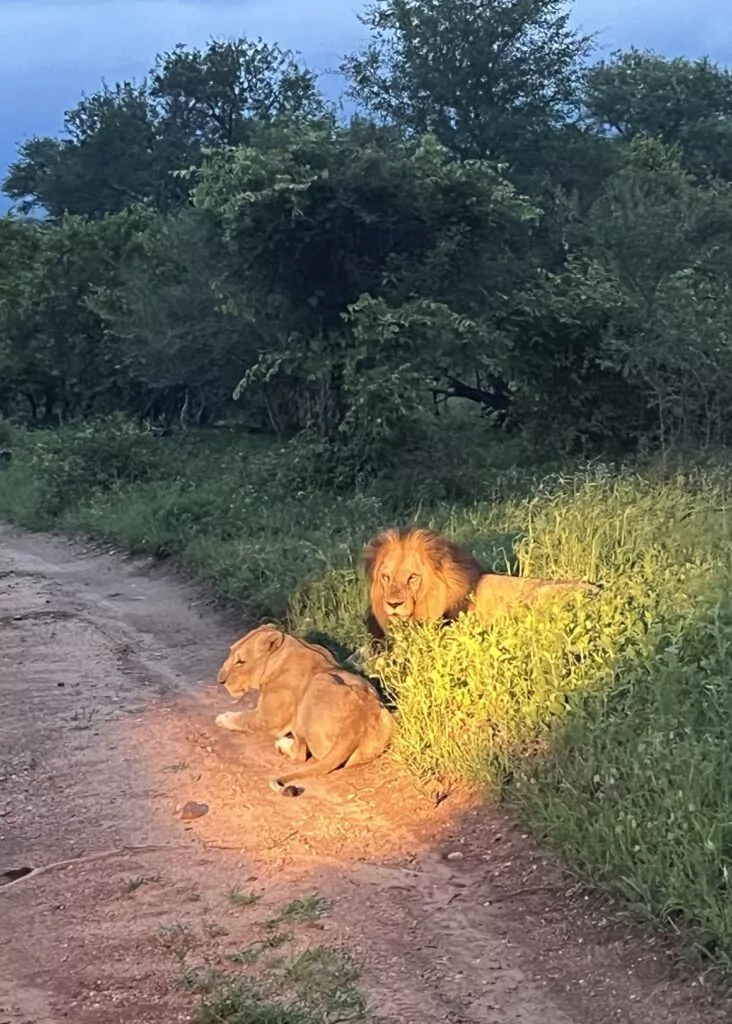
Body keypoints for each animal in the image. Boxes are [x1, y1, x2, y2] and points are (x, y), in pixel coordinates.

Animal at [215, 624, 394, 795]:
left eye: (240, 661)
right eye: (230, 652)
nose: (220, 681)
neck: (287, 646)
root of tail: (354, 729)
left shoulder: (268, 721)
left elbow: (242, 718)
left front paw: (222, 718)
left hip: (318, 682)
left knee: (300, 754)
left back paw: (282, 743)